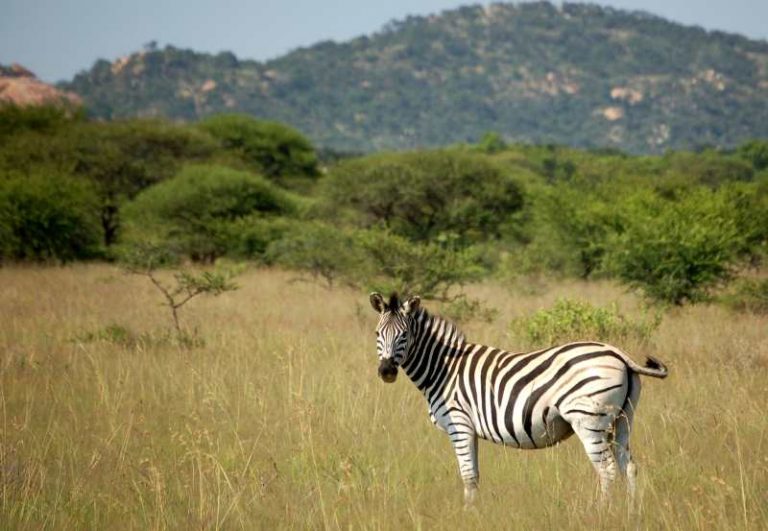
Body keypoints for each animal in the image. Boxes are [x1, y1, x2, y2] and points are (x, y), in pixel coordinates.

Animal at [369, 292, 668, 504]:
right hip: (623, 419)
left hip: (589, 421)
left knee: (607, 471)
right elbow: (475, 476)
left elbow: (467, 476)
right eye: (377, 334)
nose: (386, 371)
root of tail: (618, 353)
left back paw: (602, 514)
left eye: (404, 335)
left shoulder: (459, 424)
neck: (442, 369)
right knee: (629, 467)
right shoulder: (471, 429)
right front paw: (474, 513)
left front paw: (468, 514)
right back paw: (630, 514)